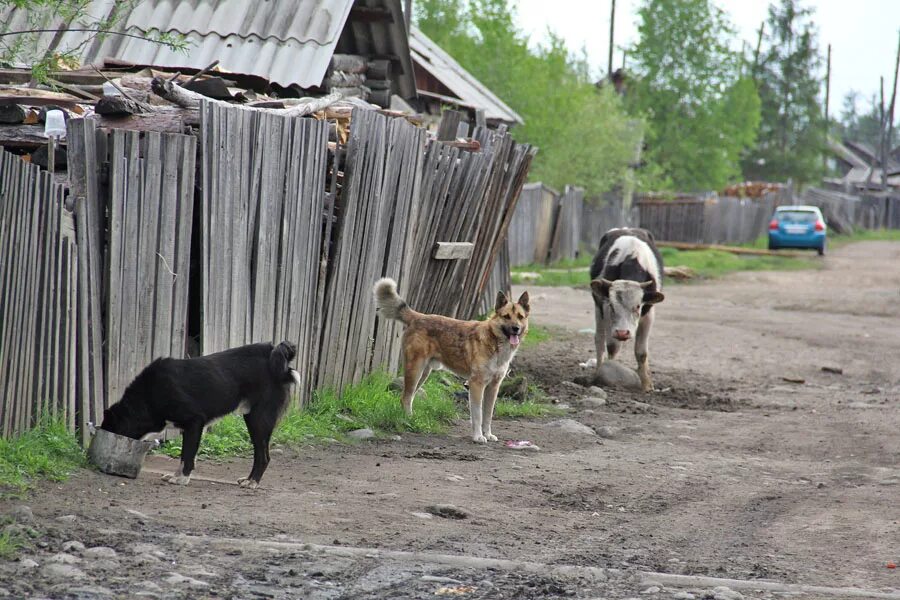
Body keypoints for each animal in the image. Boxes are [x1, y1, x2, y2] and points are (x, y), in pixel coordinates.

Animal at [100, 342, 298, 488]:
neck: (149, 394)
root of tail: (272, 351)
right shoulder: (190, 428)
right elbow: (186, 455)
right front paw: (177, 475)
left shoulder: (194, 421)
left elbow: (187, 455)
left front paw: (181, 479)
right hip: (251, 418)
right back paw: (250, 480)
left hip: (258, 420)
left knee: (263, 456)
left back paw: (252, 482)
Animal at [370, 278, 528, 442]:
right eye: (506, 316)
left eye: (520, 317)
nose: (516, 328)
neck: (495, 343)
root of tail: (418, 317)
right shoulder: (476, 384)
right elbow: (477, 414)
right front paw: (478, 436)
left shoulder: (493, 387)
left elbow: (488, 415)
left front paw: (487, 434)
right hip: (415, 371)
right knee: (405, 398)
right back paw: (408, 421)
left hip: (423, 374)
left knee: (409, 397)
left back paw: (410, 419)